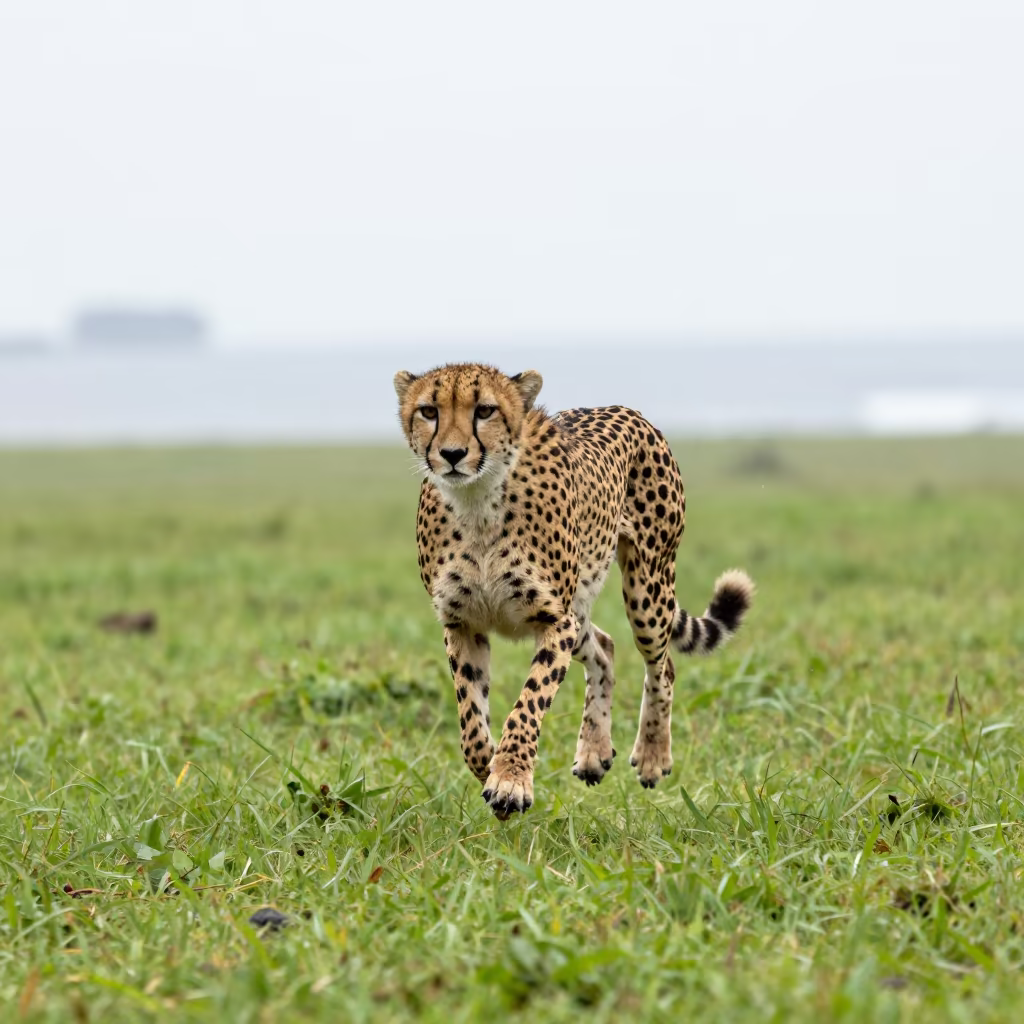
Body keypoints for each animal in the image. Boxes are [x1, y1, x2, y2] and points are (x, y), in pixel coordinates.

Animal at [393, 362, 755, 819]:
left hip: (646, 590)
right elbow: (470, 721)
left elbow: (529, 703)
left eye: (485, 411)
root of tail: (621, 407)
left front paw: (510, 779)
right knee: (605, 648)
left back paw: (652, 755)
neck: (478, 502)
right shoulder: (462, 623)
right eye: (428, 411)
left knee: (663, 665)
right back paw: (593, 752)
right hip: (581, 609)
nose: (453, 454)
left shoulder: (554, 619)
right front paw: (491, 765)